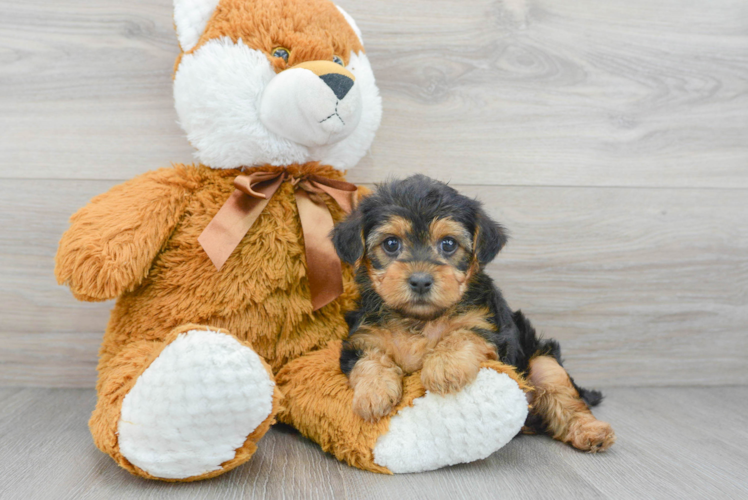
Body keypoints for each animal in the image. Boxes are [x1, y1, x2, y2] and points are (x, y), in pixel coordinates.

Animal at [332, 175, 612, 454]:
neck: (420, 319)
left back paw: (591, 431)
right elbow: (370, 360)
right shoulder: (363, 339)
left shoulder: (487, 328)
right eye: (391, 244)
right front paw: (373, 394)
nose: (420, 281)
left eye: (448, 244)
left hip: (543, 361)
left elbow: (464, 334)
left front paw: (444, 367)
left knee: (566, 398)